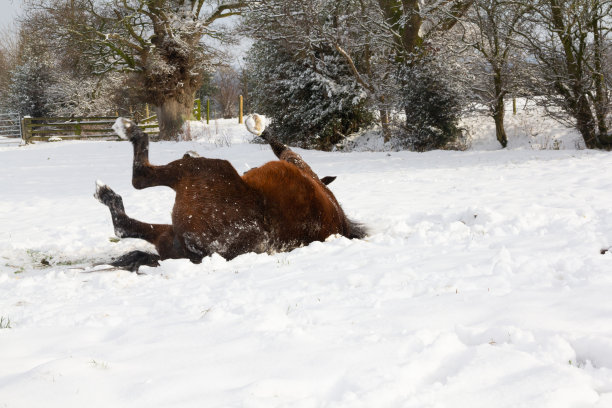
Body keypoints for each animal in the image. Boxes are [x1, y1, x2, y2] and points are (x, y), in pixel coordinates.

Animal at [93, 115, 366, 272]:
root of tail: (198, 253)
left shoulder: (301, 168)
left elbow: (284, 148)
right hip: (170, 234)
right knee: (125, 226)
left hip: (198, 174)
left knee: (140, 179)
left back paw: (126, 132)